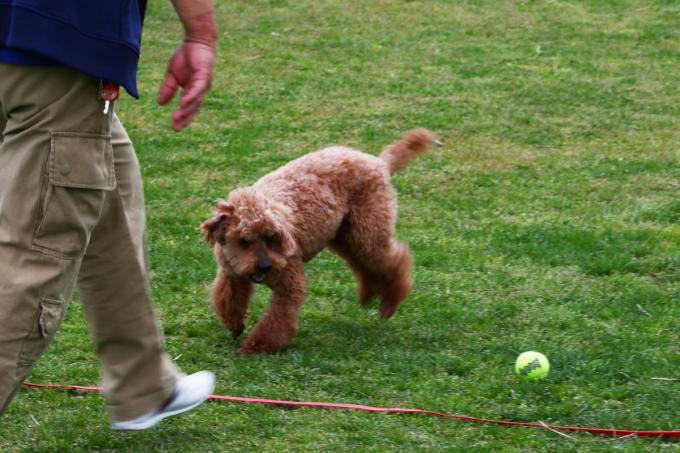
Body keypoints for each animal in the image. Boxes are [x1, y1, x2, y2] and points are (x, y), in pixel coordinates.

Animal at [199, 128, 438, 354]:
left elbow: (276, 320)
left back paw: (389, 304)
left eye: (271, 237)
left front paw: (256, 346)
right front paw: (235, 326)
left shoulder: (290, 284)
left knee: (395, 261)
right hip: (346, 236)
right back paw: (369, 294)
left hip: (368, 232)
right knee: (364, 265)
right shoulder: (231, 274)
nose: (266, 266)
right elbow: (229, 299)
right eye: (244, 240)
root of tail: (379, 162)